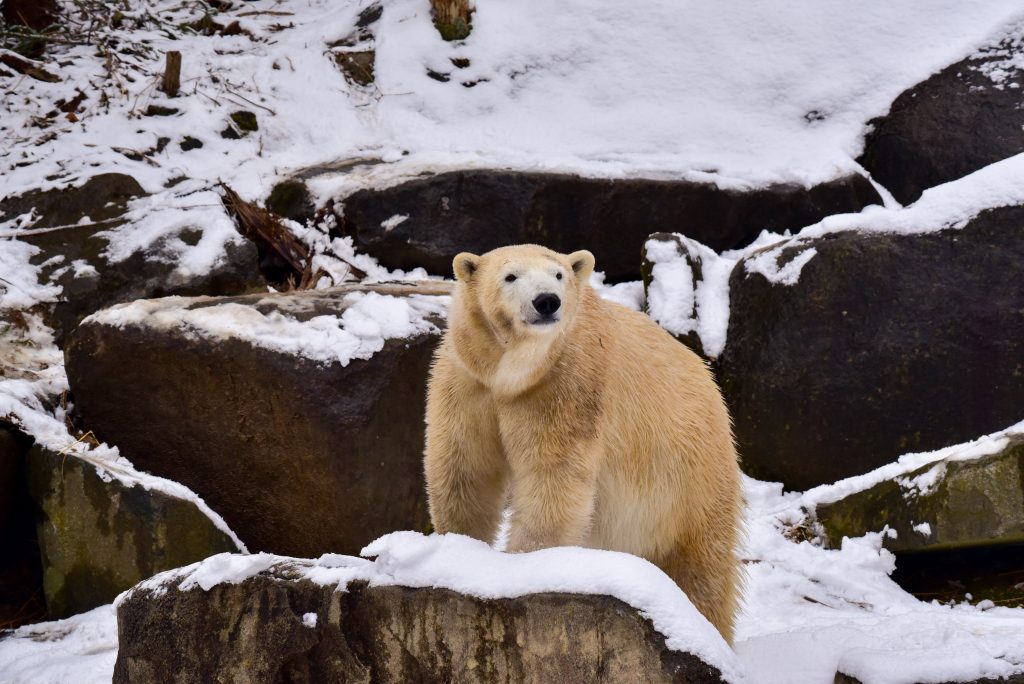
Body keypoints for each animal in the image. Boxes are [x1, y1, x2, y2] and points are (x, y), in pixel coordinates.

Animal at [423, 244, 745, 643]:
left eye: (559, 274)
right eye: (510, 276)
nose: (547, 301)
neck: (511, 373)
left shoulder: (568, 385)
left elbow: (552, 480)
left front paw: (523, 566)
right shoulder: (468, 382)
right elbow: (465, 469)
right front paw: (460, 550)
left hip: (691, 479)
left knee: (702, 569)